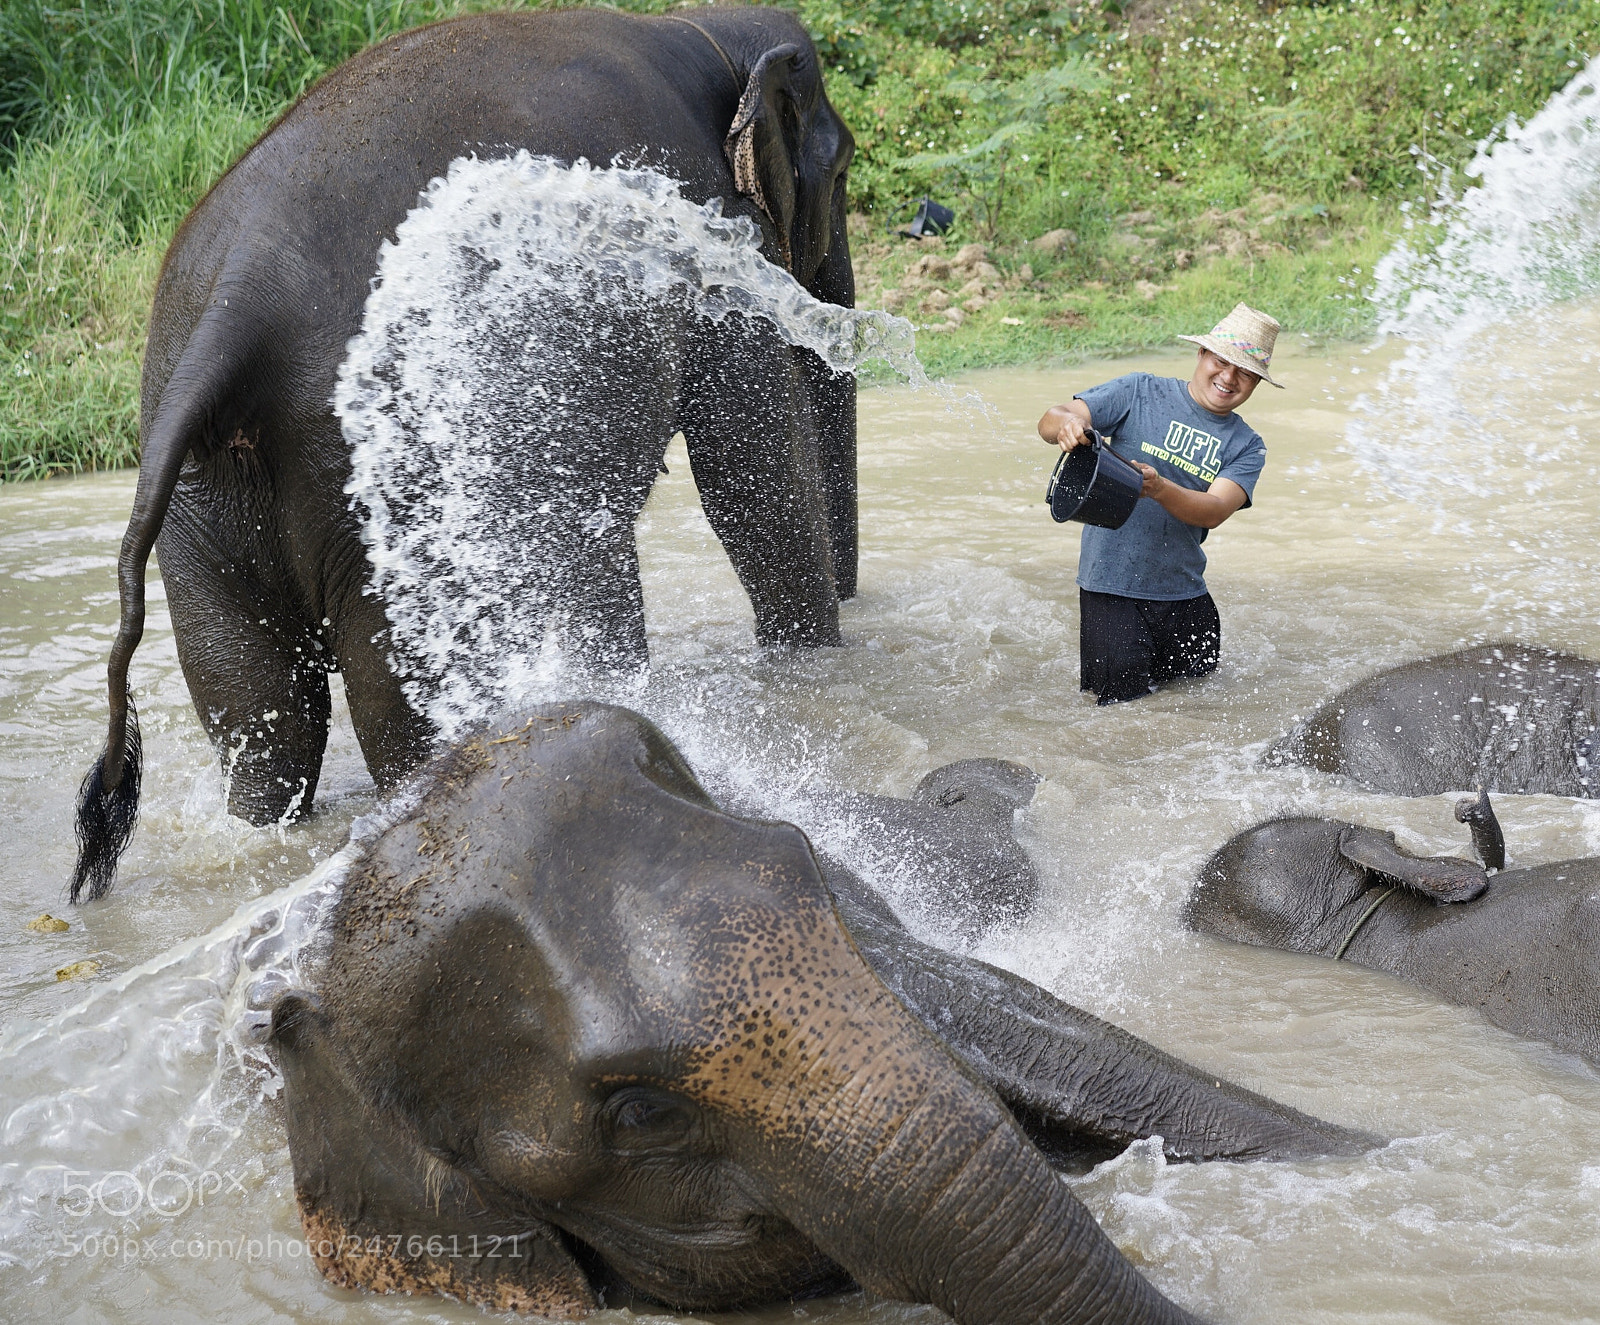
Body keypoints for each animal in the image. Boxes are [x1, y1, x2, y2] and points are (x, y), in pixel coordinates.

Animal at [71, 7, 861, 902]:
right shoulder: (718, 235)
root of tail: (238, 308)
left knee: (264, 730)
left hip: (204, 512)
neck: (703, 29)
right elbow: (751, 484)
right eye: (842, 169)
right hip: (394, 501)